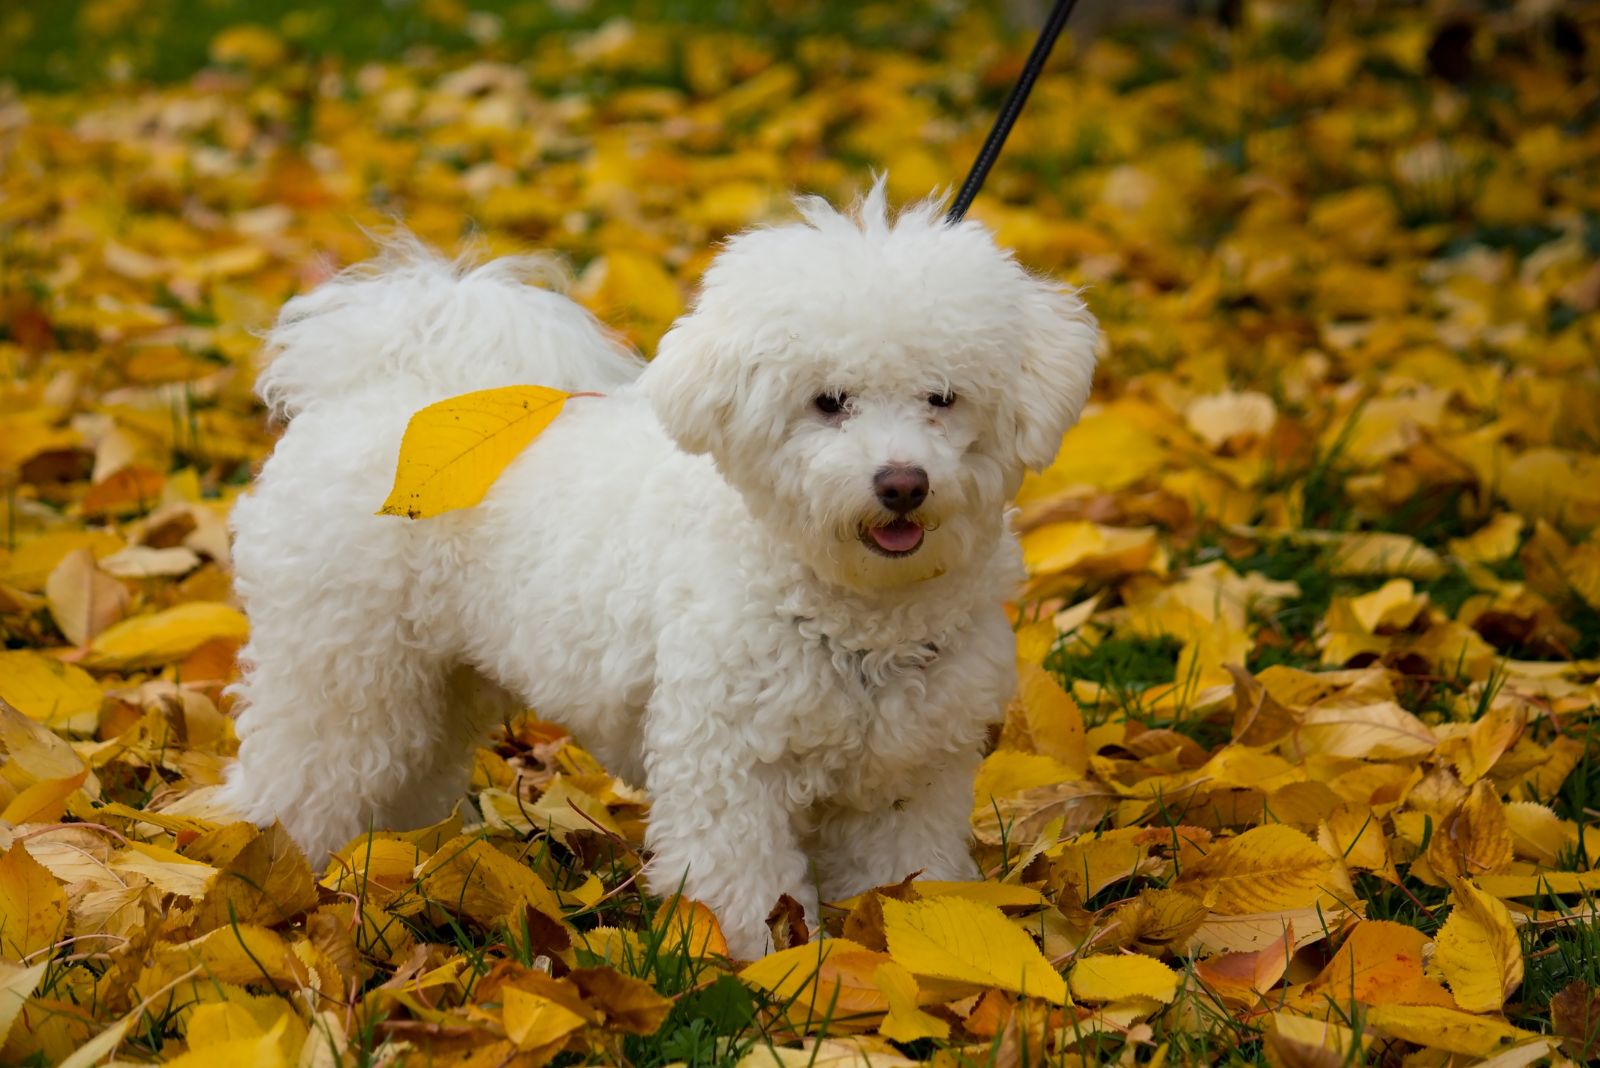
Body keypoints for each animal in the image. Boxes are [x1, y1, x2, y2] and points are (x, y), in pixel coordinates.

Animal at [219, 185, 1100, 959]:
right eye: (828, 401)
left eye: (943, 397)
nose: (902, 483)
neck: (856, 611)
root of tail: (388, 387)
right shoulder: (728, 765)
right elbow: (742, 885)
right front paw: (760, 969)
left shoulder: (910, 776)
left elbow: (903, 881)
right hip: (338, 668)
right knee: (297, 773)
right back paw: (262, 874)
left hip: (434, 686)